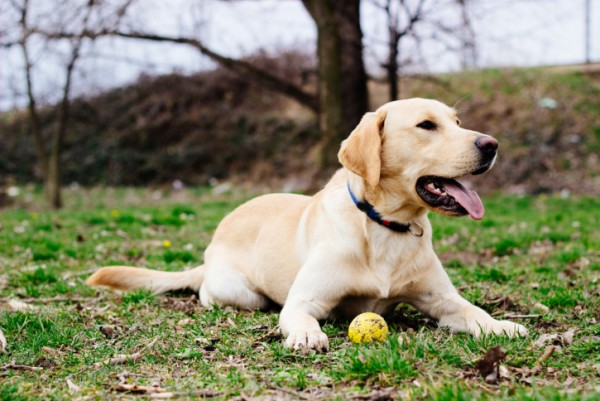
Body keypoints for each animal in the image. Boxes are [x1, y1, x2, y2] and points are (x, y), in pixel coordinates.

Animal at [86, 97, 528, 350]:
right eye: (426, 125)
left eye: (457, 122)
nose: (492, 144)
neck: (385, 226)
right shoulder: (305, 299)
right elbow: (300, 314)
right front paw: (306, 334)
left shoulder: (442, 300)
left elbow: (473, 311)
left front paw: (502, 325)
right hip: (239, 291)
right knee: (214, 294)